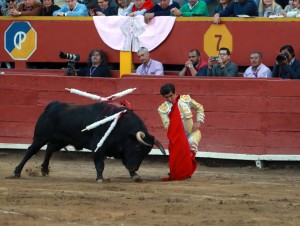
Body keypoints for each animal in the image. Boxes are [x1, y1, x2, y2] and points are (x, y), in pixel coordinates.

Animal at [10, 100, 165, 182]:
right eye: (138, 148)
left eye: (146, 153)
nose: (134, 168)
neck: (121, 126)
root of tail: (53, 105)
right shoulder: (98, 146)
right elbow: (100, 163)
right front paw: (100, 178)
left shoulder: (121, 151)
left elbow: (124, 161)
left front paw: (135, 176)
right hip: (41, 137)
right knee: (31, 151)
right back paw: (16, 172)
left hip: (60, 140)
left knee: (49, 149)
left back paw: (44, 170)